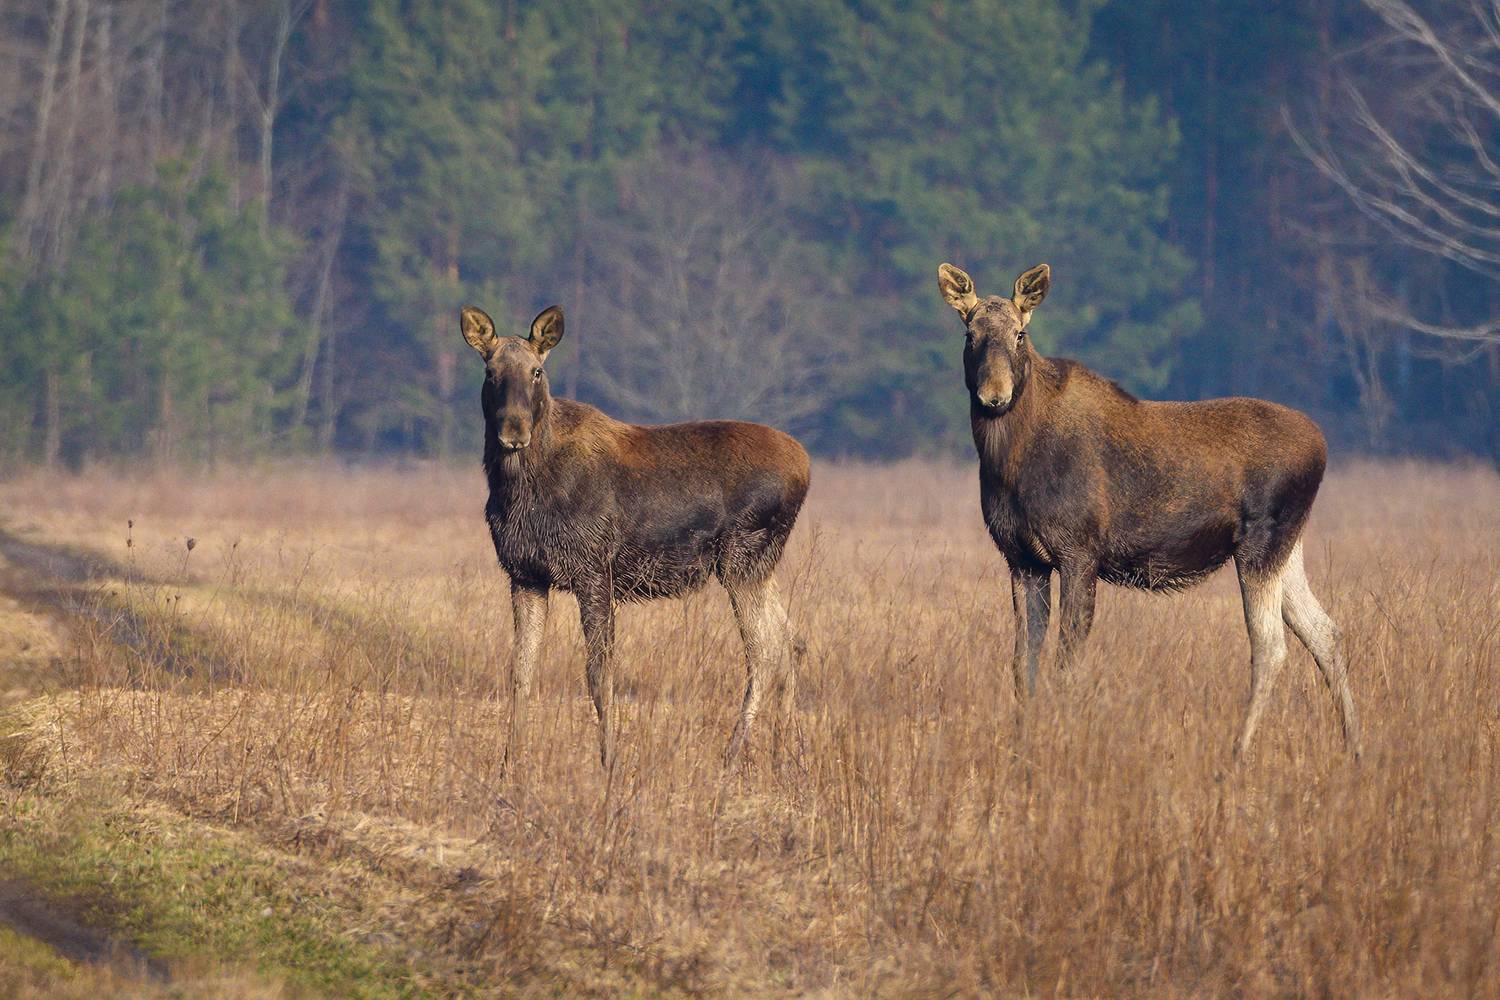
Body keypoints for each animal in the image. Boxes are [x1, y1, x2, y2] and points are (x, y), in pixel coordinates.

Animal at [461, 304, 810, 769]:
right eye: (490, 371)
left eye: (537, 371)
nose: (514, 431)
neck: (517, 489)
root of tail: (806, 468)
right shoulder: (525, 574)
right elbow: (521, 672)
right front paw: (509, 763)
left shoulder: (593, 570)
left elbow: (599, 673)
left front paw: (609, 760)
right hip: (760, 565)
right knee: (792, 643)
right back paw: (783, 756)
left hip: (742, 559)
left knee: (766, 652)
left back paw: (733, 753)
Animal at [937, 262, 1362, 760]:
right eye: (970, 334)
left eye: (1020, 333)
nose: (995, 397)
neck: (1006, 461)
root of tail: (1322, 446)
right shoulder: (1022, 558)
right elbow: (1024, 665)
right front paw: (1023, 746)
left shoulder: (1078, 551)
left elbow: (1067, 662)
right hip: (1287, 546)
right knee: (1324, 631)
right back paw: (1355, 745)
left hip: (1260, 543)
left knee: (1271, 645)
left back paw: (1237, 752)